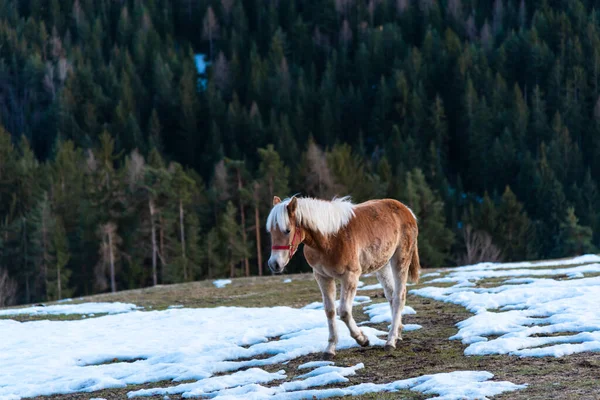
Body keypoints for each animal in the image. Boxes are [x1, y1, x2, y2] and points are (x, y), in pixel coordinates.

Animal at [264, 195, 420, 358]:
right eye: (271, 231)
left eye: (287, 230)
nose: (274, 264)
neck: (329, 239)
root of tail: (407, 210)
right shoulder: (323, 277)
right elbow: (330, 311)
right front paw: (330, 348)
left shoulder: (350, 276)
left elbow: (344, 311)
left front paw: (362, 339)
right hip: (382, 266)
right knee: (391, 296)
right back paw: (397, 334)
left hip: (400, 260)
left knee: (399, 297)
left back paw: (390, 341)